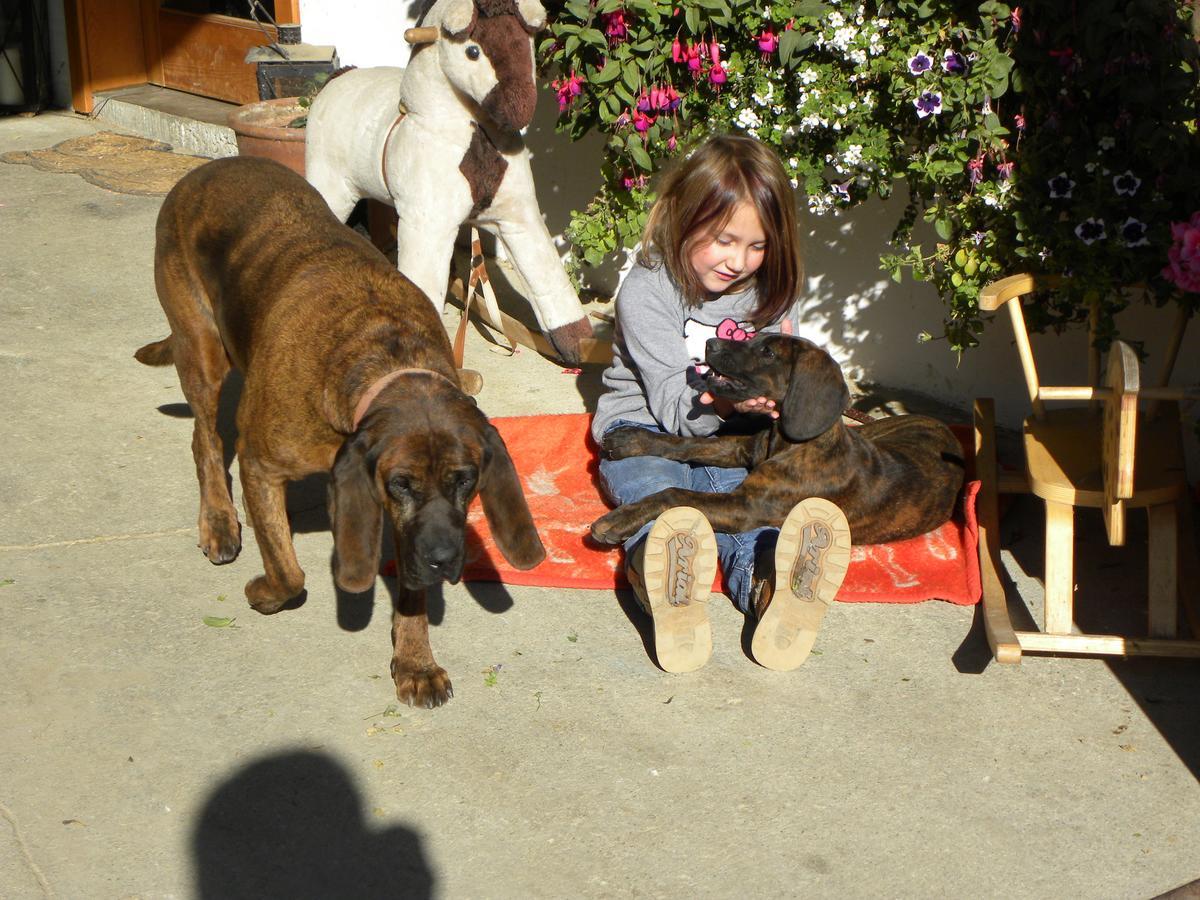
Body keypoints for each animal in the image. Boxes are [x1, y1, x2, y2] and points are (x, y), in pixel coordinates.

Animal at [136, 157, 544, 710]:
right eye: (401, 484)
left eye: (465, 481)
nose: (444, 561)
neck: (385, 357)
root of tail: (208, 168)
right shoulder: (261, 465)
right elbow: (289, 570)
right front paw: (265, 593)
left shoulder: (404, 522)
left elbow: (410, 588)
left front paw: (415, 662)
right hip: (200, 347)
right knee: (205, 438)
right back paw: (218, 520)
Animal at [590, 336, 964, 547]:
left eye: (768, 352)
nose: (710, 344)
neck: (792, 442)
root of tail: (945, 428)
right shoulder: (741, 448)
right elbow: (685, 444)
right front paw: (633, 439)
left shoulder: (745, 507)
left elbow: (675, 494)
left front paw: (618, 520)